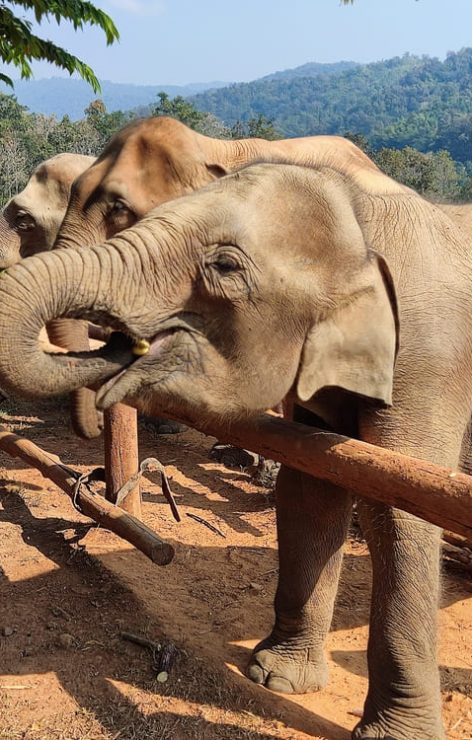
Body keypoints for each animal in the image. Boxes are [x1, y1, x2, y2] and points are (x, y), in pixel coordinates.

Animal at [0, 161, 470, 739]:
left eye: (224, 266)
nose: (123, 345)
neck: (362, 214)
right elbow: (315, 483)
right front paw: (276, 679)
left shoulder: (433, 359)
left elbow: (398, 511)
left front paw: (392, 734)